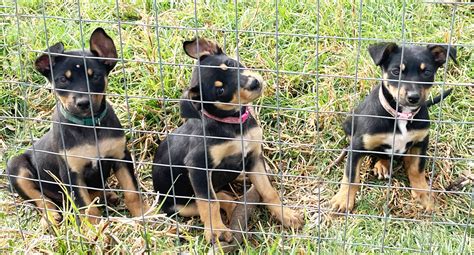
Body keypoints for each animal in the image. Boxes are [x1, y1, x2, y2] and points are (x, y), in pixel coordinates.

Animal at [6, 27, 149, 227]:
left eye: (95, 76)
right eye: (62, 80)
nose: (82, 103)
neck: (89, 125)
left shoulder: (121, 156)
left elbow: (132, 192)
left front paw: (145, 215)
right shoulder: (71, 173)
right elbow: (86, 207)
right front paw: (96, 230)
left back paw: (107, 195)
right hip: (16, 167)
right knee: (39, 197)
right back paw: (52, 215)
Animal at [154, 37, 304, 243]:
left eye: (231, 64)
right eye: (221, 91)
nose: (254, 83)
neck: (233, 124)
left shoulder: (254, 156)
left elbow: (268, 191)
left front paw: (286, 215)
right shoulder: (198, 166)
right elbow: (209, 202)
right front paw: (216, 230)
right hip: (181, 206)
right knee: (217, 198)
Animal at [330, 42, 456, 212]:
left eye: (427, 72)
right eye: (396, 72)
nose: (413, 98)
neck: (401, 115)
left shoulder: (421, 142)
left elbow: (417, 170)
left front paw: (424, 195)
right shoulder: (357, 146)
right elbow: (351, 176)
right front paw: (343, 200)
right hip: (349, 124)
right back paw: (382, 165)